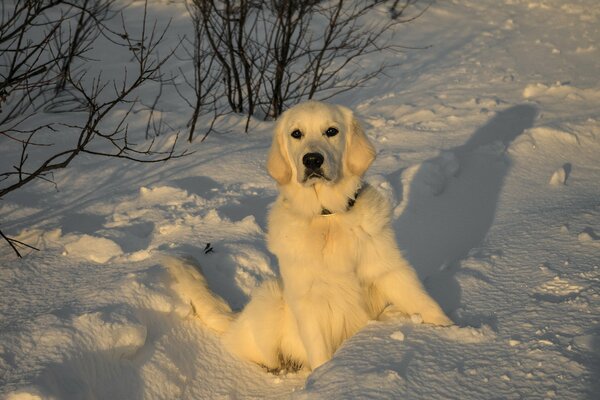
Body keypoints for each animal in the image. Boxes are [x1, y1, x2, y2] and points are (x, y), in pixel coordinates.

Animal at [164, 100, 450, 372]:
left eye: (332, 131)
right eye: (296, 134)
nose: (312, 160)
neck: (327, 217)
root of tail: (238, 318)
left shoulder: (389, 269)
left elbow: (424, 303)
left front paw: (448, 332)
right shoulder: (308, 301)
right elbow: (320, 351)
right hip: (271, 299)